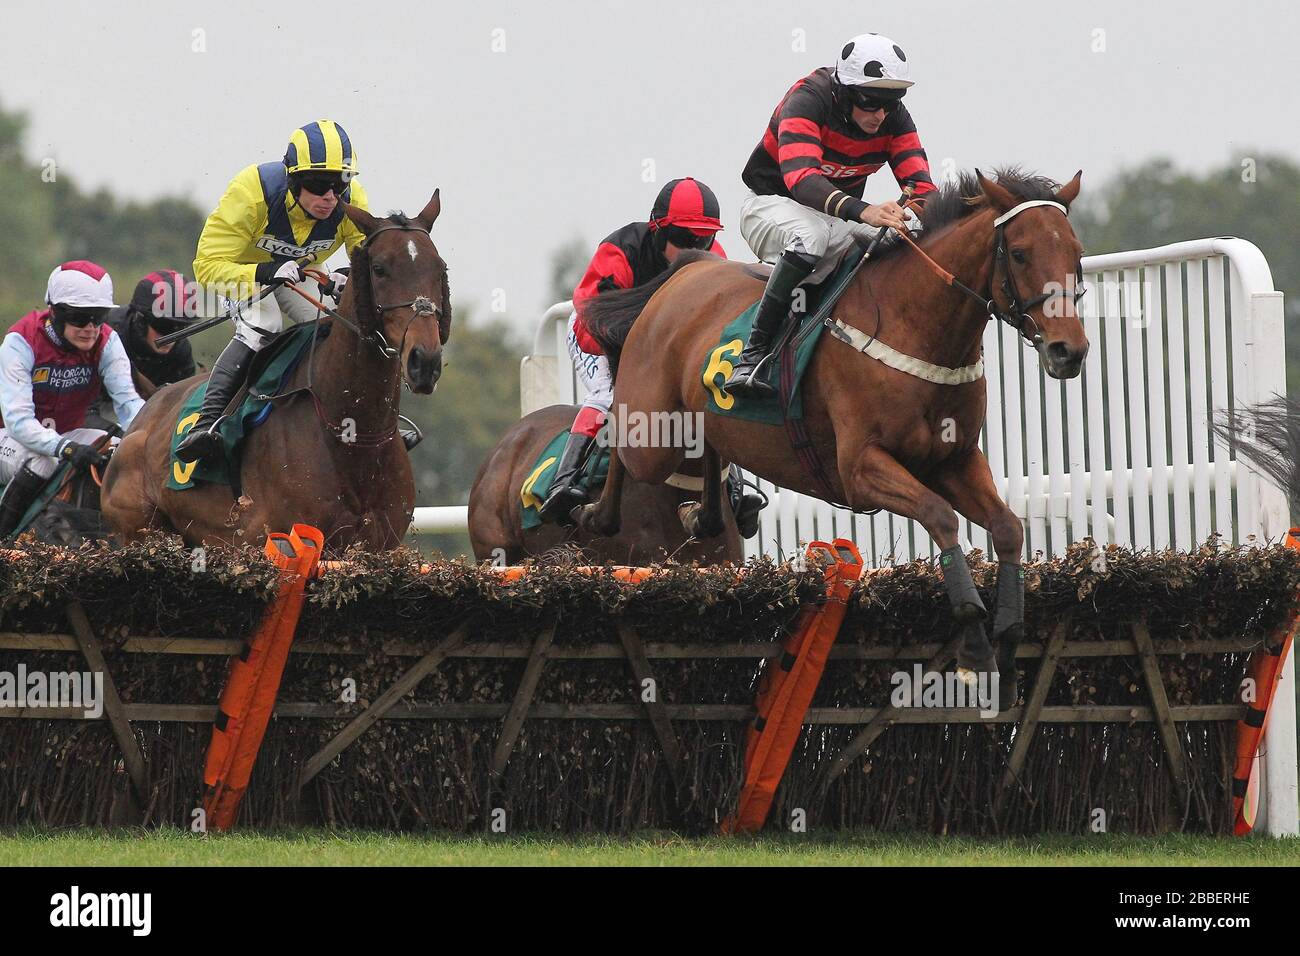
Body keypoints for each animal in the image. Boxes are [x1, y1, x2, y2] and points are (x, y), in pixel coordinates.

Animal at [100, 195, 452, 554]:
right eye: (379, 269)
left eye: (440, 269)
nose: (424, 361)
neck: (350, 432)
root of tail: (146, 413)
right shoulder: (274, 540)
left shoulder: (381, 546)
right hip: (140, 532)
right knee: (258, 328)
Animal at [579, 170, 1086, 702]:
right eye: (1021, 253)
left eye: (1075, 251)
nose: (1068, 350)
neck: (915, 324)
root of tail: (685, 272)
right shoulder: (861, 468)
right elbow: (939, 516)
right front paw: (973, 642)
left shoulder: (955, 460)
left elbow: (1008, 527)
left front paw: (1007, 641)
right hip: (654, 435)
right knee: (619, 434)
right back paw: (594, 511)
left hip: (699, 422)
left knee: (709, 448)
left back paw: (704, 515)